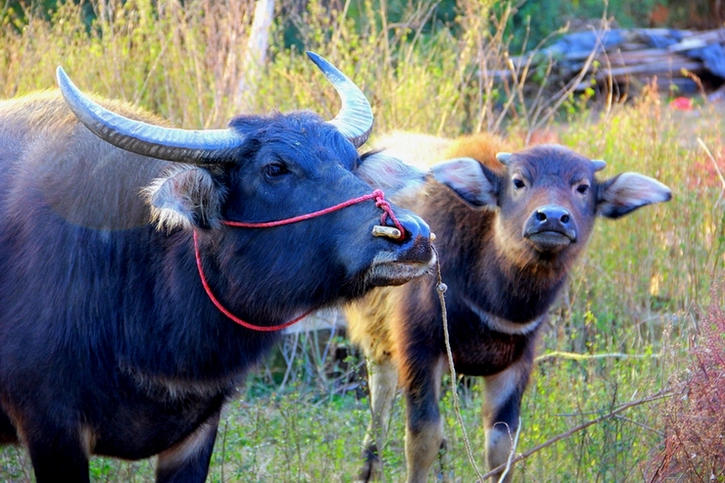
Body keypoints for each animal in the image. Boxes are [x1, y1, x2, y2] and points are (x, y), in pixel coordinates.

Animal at [348, 132, 672, 483]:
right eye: (518, 181)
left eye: (583, 186)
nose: (552, 217)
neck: (492, 305)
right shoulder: (418, 350)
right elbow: (423, 438)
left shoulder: (516, 363)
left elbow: (501, 445)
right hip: (378, 342)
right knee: (380, 402)